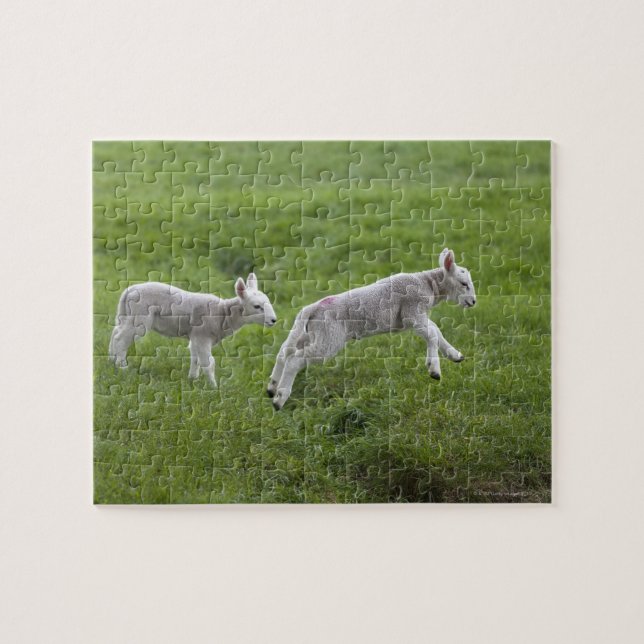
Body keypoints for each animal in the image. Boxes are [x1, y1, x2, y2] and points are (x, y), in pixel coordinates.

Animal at [109, 273, 276, 388]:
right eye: (257, 306)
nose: (273, 320)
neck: (223, 314)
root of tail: (130, 290)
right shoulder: (202, 335)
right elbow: (209, 363)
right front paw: (214, 388)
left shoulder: (196, 336)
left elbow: (196, 359)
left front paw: (192, 379)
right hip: (140, 318)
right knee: (121, 339)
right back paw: (122, 368)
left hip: (126, 314)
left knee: (115, 333)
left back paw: (111, 360)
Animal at [267, 249, 476, 410]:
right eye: (464, 284)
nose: (473, 302)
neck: (428, 284)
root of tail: (312, 308)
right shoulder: (412, 311)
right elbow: (432, 333)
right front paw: (434, 369)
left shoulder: (415, 316)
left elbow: (436, 331)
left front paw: (455, 355)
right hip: (329, 338)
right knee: (295, 359)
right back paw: (279, 399)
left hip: (313, 333)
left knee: (285, 351)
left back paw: (272, 388)